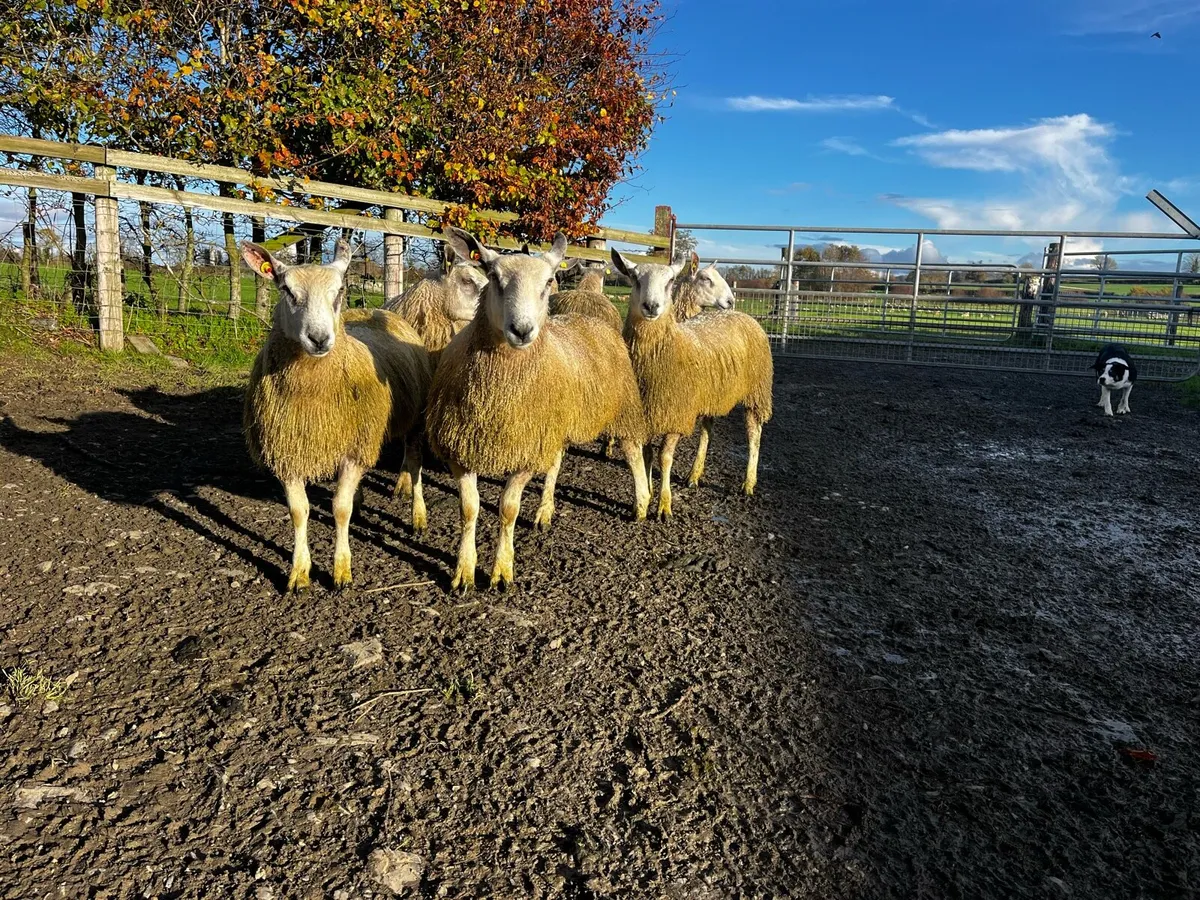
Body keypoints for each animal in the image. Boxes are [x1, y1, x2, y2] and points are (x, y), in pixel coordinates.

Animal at [242, 239, 433, 592]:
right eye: (287, 290)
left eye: (339, 290)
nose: (318, 338)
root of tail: (377, 310)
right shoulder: (287, 451)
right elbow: (298, 512)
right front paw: (298, 572)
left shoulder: (354, 452)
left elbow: (339, 509)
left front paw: (341, 571)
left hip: (412, 421)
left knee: (414, 465)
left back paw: (418, 517)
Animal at [425, 228, 650, 593]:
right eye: (494, 278)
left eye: (547, 282)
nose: (522, 330)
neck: (498, 393)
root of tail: (589, 317)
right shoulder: (460, 448)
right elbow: (469, 510)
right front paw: (463, 570)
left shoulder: (528, 452)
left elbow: (508, 509)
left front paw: (502, 570)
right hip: (555, 422)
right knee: (556, 463)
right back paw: (545, 510)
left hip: (622, 405)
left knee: (632, 450)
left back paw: (642, 502)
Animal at [613, 249, 773, 519]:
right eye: (634, 278)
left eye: (669, 281)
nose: (651, 306)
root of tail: (741, 314)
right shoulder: (646, 412)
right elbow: (646, 455)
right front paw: (647, 494)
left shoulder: (677, 413)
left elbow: (664, 457)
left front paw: (664, 505)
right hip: (713, 393)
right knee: (708, 430)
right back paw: (694, 475)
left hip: (757, 390)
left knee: (754, 434)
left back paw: (748, 483)